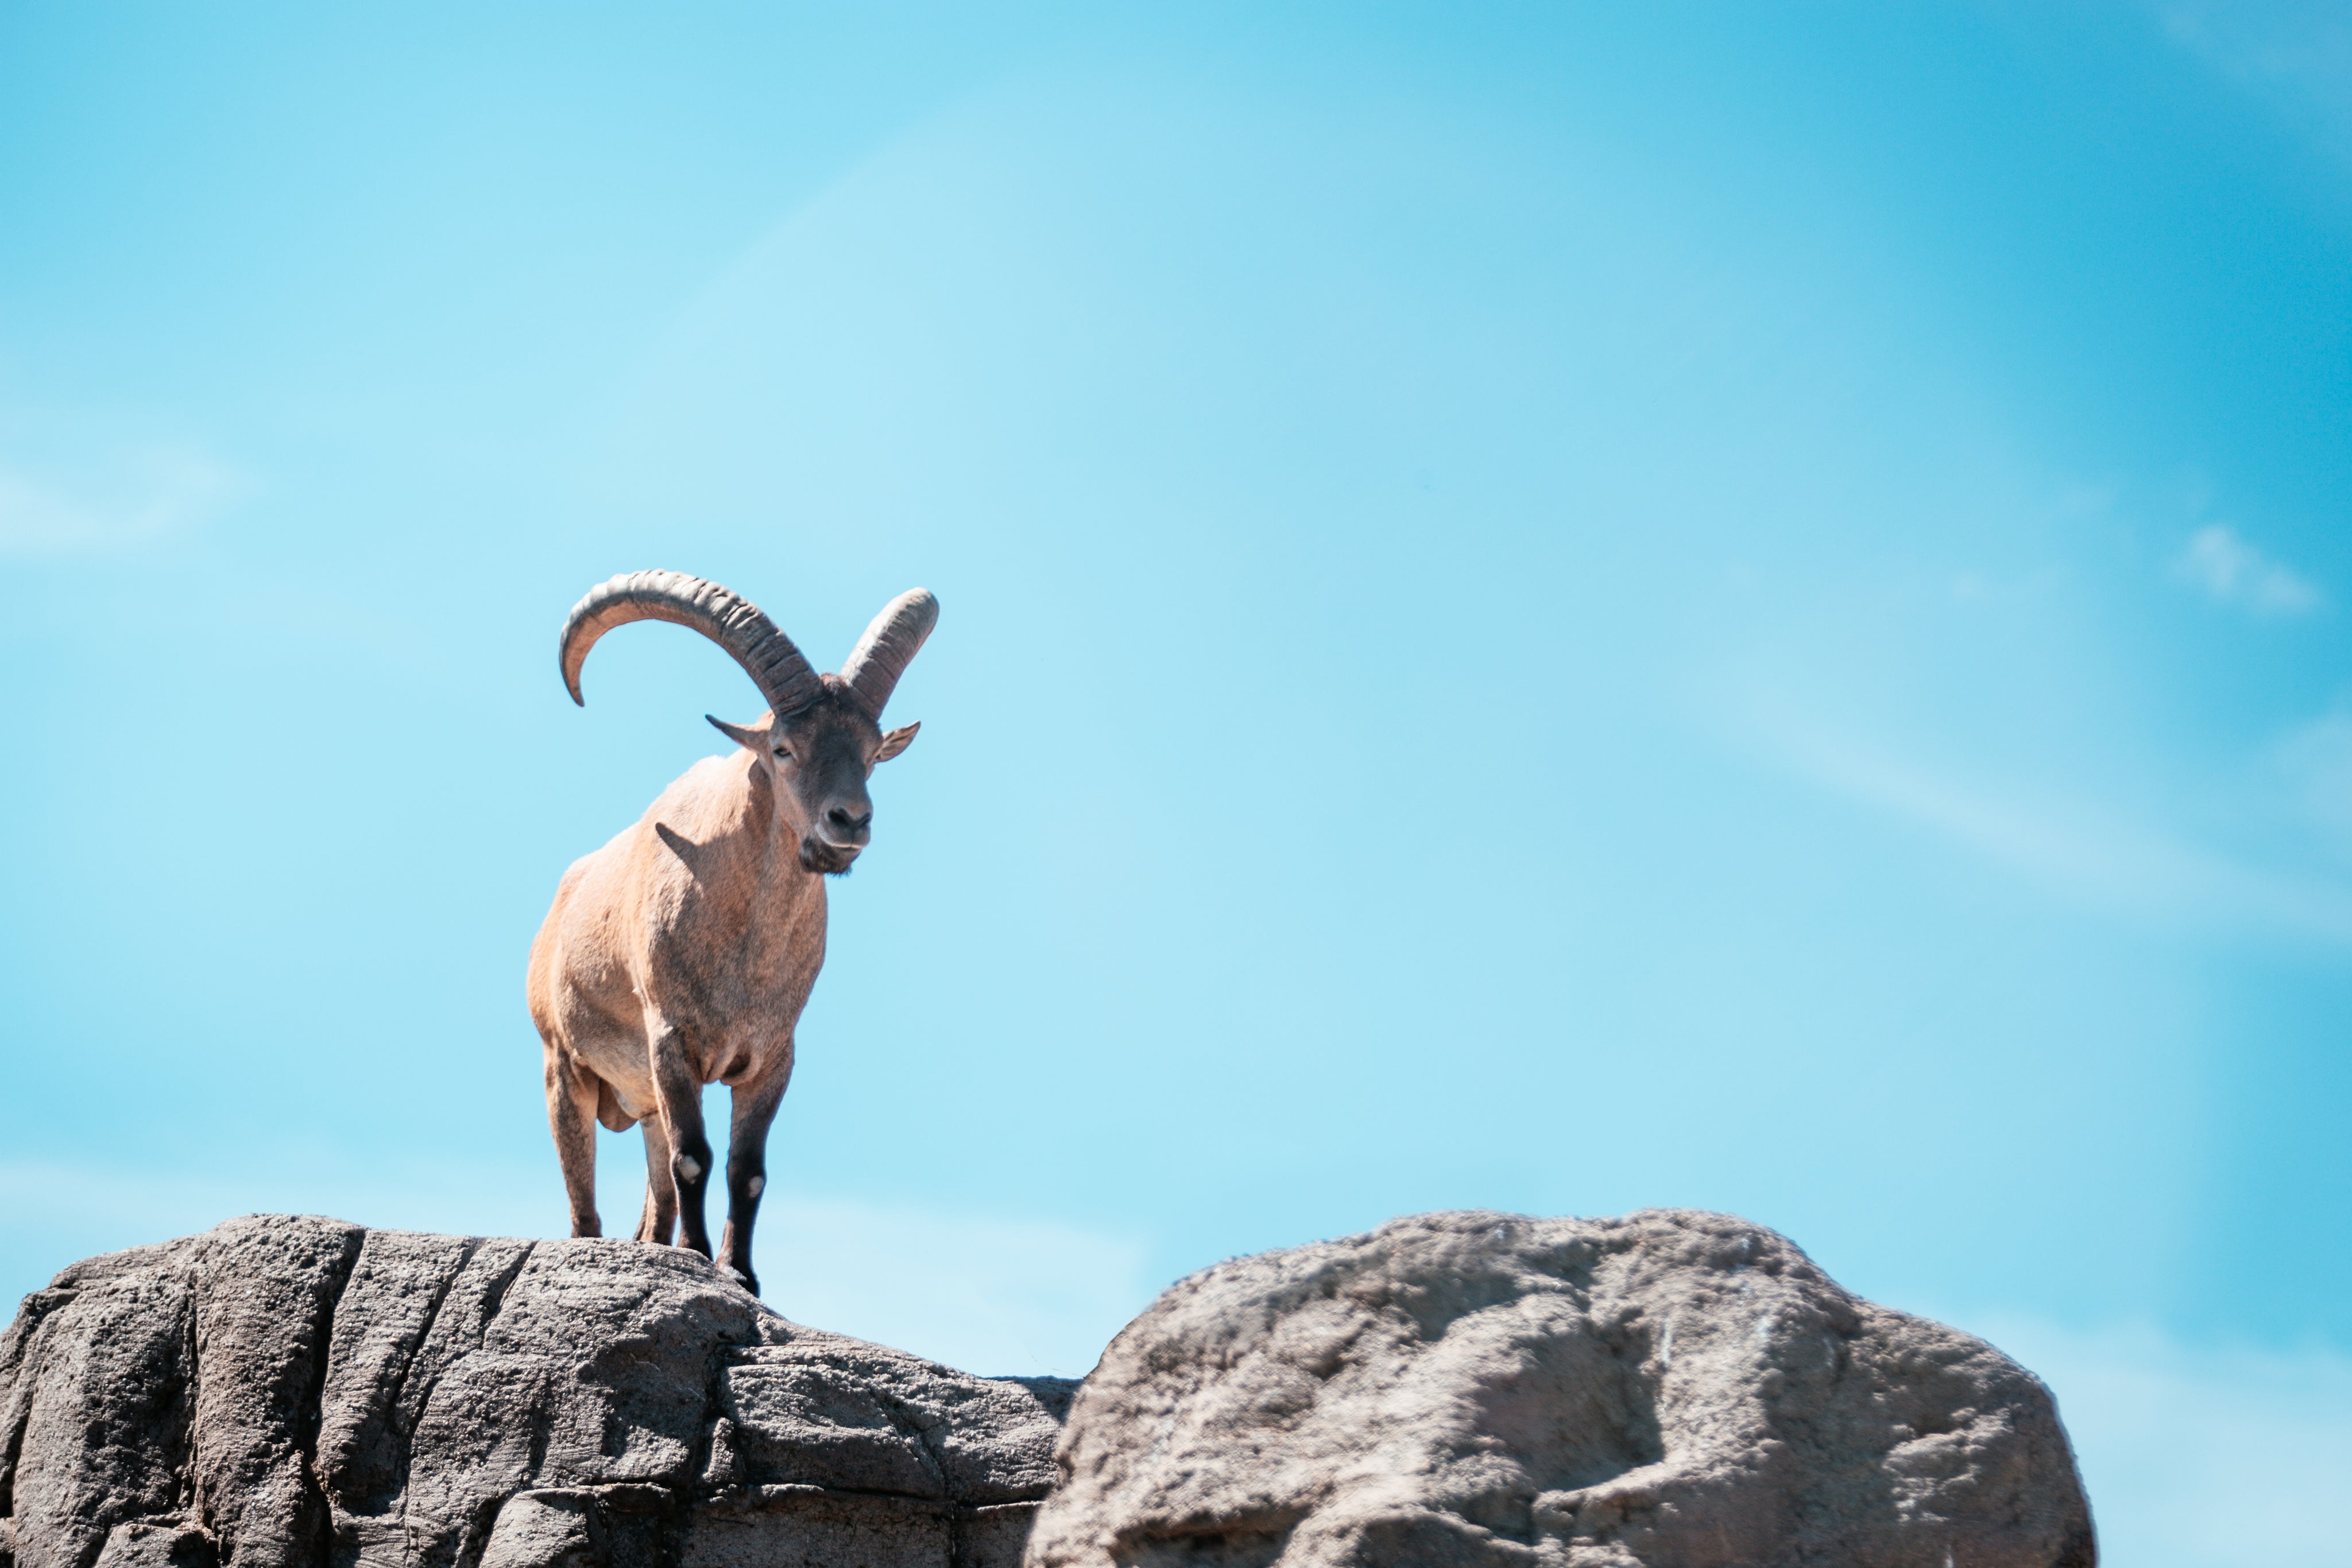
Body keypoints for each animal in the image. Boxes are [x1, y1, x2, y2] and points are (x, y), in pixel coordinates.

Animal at [526, 570, 936, 1294]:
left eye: (871, 753)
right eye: (782, 748)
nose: (849, 822)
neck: (745, 953)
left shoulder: (772, 1055)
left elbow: (748, 1170)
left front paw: (741, 1273)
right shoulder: (673, 1040)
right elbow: (695, 1156)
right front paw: (697, 1256)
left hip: (642, 1101)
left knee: (653, 1198)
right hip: (564, 1067)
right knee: (587, 1203)